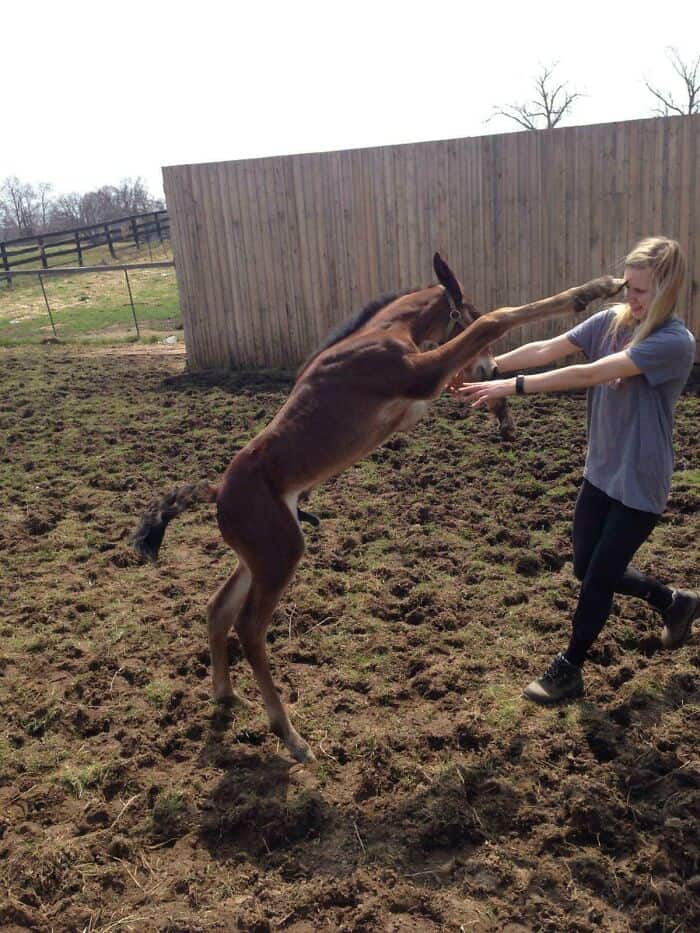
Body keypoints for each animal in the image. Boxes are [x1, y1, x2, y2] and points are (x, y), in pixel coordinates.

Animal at [134, 253, 623, 763]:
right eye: (465, 309)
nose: (492, 366)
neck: (382, 333)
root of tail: (217, 491)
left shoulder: (424, 389)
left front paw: (502, 415)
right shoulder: (420, 374)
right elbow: (496, 320)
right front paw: (596, 289)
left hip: (260, 557)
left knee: (217, 609)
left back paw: (227, 695)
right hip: (280, 555)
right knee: (249, 629)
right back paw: (289, 735)